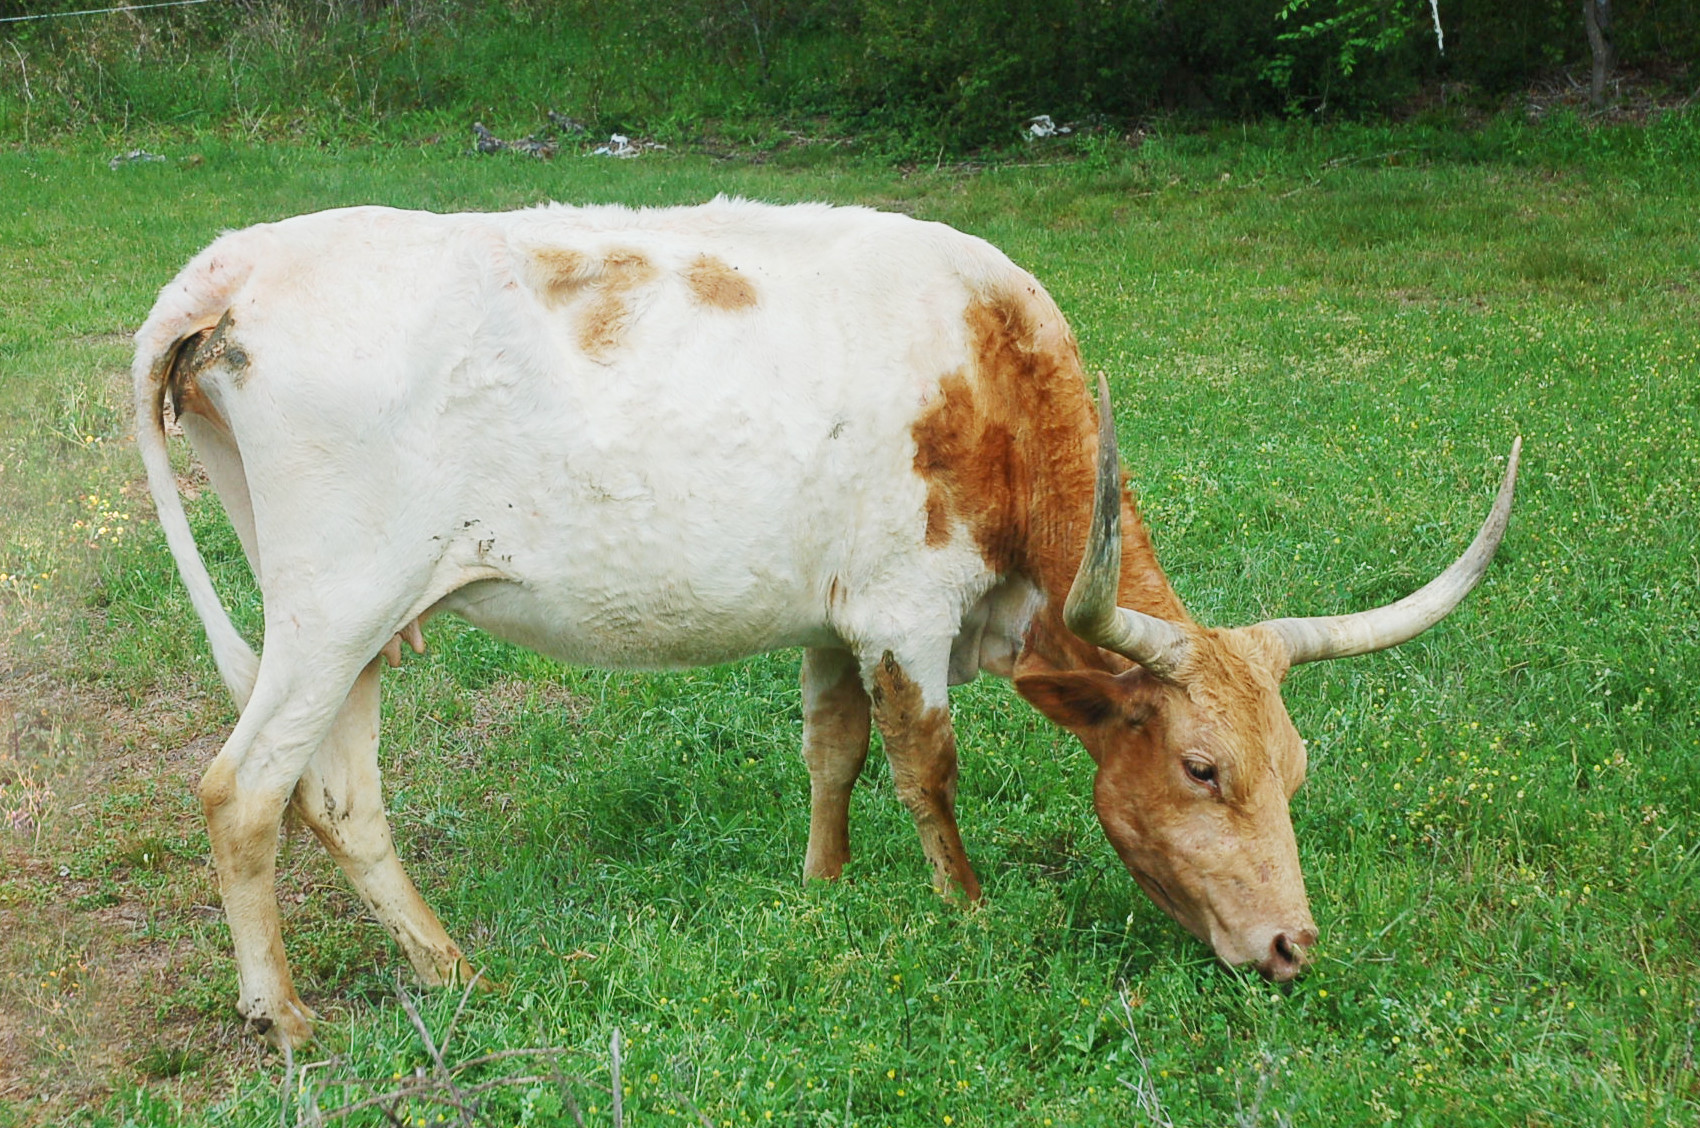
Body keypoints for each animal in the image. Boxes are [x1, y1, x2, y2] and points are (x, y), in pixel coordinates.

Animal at [133, 199, 1518, 1048]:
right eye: (1199, 767)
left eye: (1292, 769)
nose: (1290, 945)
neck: (996, 380)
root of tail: (232, 267)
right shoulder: (907, 611)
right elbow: (925, 768)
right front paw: (965, 911)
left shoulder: (829, 619)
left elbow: (832, 753)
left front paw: (822, 885)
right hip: (335, 608)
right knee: (241, 790)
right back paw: (285, 1015)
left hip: (359, 625)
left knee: (341, 797)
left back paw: (452, 972)